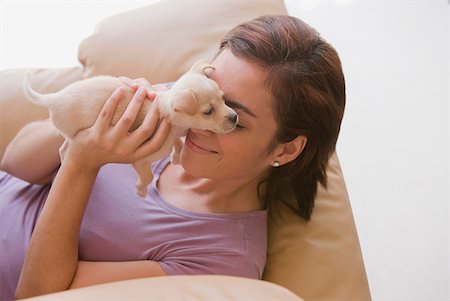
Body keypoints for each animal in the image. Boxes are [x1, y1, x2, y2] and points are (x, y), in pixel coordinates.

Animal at [23, 61, 239, 197]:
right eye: (209, 111)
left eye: (224, 100)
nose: (235, 117)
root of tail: (53, 99)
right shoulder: (141, 161)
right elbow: (148, 175)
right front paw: (141, 190)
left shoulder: (173, 134)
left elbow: (177, 142)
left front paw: (176, 156)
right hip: (73, 132)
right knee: (65, 149)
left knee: (62, 148)